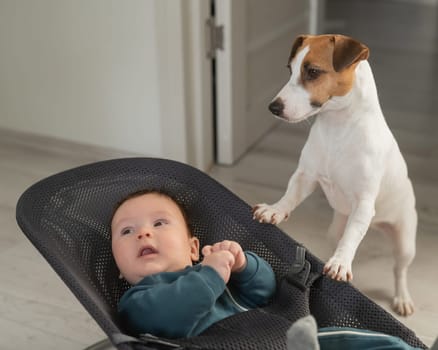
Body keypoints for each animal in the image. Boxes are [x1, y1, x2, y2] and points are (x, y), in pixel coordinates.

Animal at [252, 34, 416, 316]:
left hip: (405, 241)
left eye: (313, 72)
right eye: (290, 69)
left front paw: (340, 262)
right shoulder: (306, 176)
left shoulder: (363, 203)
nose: (273, 107)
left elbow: (352, 237)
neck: (337, 128)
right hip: (334, 228)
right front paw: (275, 210)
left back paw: (402, 297)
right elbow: (290, 196)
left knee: (399, 270)